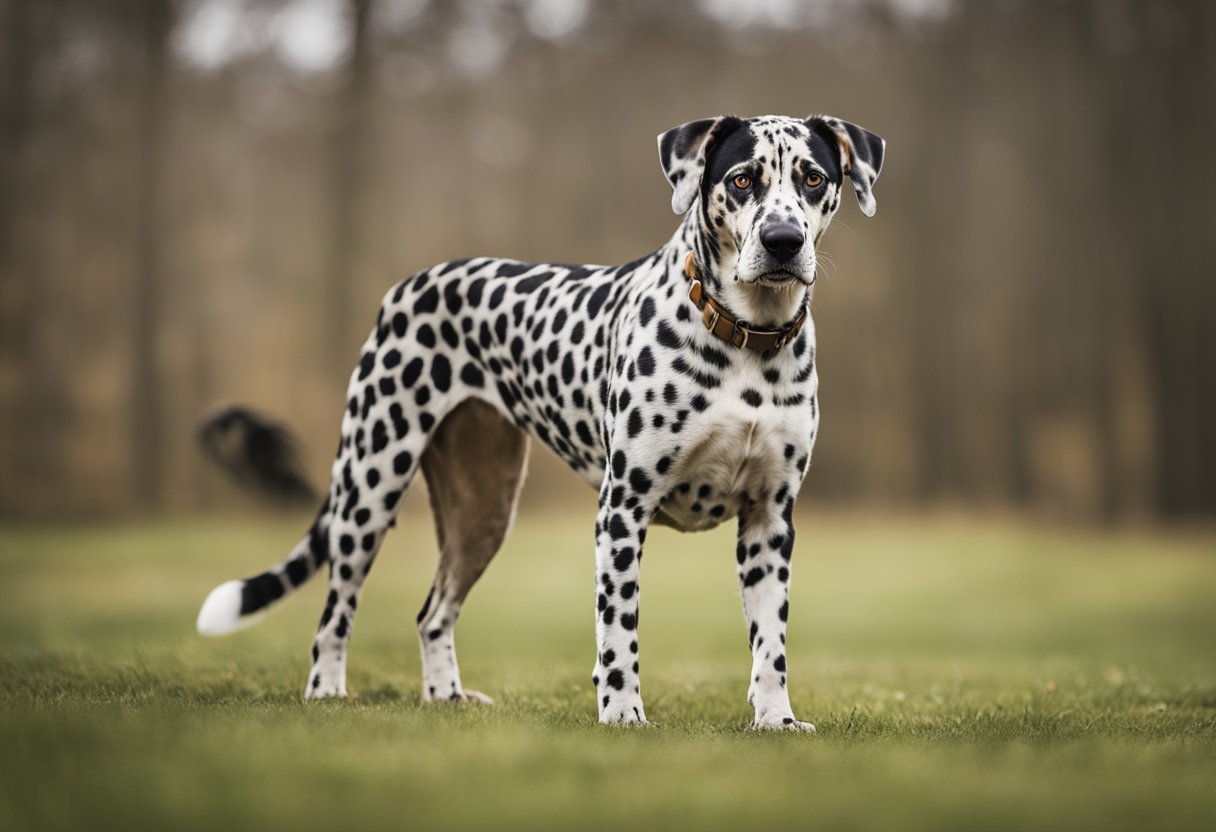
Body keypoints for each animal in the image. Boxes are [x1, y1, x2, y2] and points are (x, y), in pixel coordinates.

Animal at [196, 111, 885, 729]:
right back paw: (327, 692)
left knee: (433, 612)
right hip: (371, 485)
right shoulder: (622, 509)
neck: (747, 339)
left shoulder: (769, 519)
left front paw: (775, 719)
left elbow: (771, 645)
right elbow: (619, 632)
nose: (783, 242)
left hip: (484, 508)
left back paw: (446, 698)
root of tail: (411, 284)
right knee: (334, 613)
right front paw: (622, 714)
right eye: (742, 179)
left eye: (814, 177)